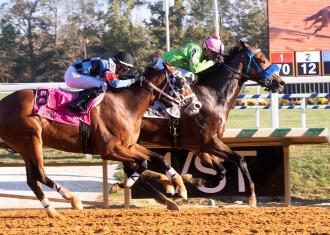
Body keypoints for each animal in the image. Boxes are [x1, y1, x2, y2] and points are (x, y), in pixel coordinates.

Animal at [0, 68, 187, 217]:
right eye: (180, 82)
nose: (188, 103)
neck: (126, 105)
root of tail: (3, 103)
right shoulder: (110, 150)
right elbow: (142, 164)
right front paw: (120, 185)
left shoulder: (129, 146)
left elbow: (155, 158)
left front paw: (177, 187)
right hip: (31, 140)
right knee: (39, 174)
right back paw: (73, 200)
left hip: (25, 146)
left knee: (32, 180)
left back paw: (51, 210)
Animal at [133, 41, 284, 207]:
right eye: (262, 59)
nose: (281, 82)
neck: (212, 97)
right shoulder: (209, 141)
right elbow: (240, 160)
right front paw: (251, 197)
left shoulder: (200, 147)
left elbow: (221, 171)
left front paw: (192, 179)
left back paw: (169, 190)